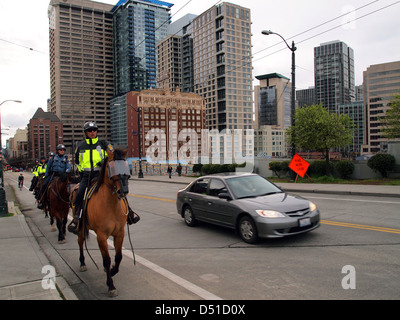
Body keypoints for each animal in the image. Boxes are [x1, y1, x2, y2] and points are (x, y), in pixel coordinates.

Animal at [70, 148, 130, 298]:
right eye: (111, 167)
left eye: (126, 166)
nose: (123, 191)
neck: (111, 204)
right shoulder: (101, 235)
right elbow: (107, 259)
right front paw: (111, 286)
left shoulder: (120, 233)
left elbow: (118, 256)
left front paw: (113, 270)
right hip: (81, 227)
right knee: (80, 242)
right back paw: (82, 263)